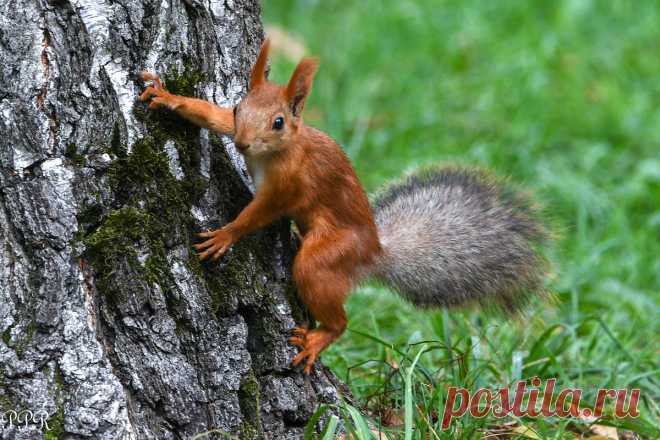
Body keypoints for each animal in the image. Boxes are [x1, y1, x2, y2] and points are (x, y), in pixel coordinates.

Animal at [139, 39, 548, 372]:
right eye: (240, 107)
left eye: (278, 122)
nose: (241, 144)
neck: (277, 152)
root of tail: (373, 252)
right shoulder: (231, 126)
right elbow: (211, 115)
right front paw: (167, 97)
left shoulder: (289, 185)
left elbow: (262, 212)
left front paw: (225, 235)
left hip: (329, 255)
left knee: (333, 308)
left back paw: (320, 337)